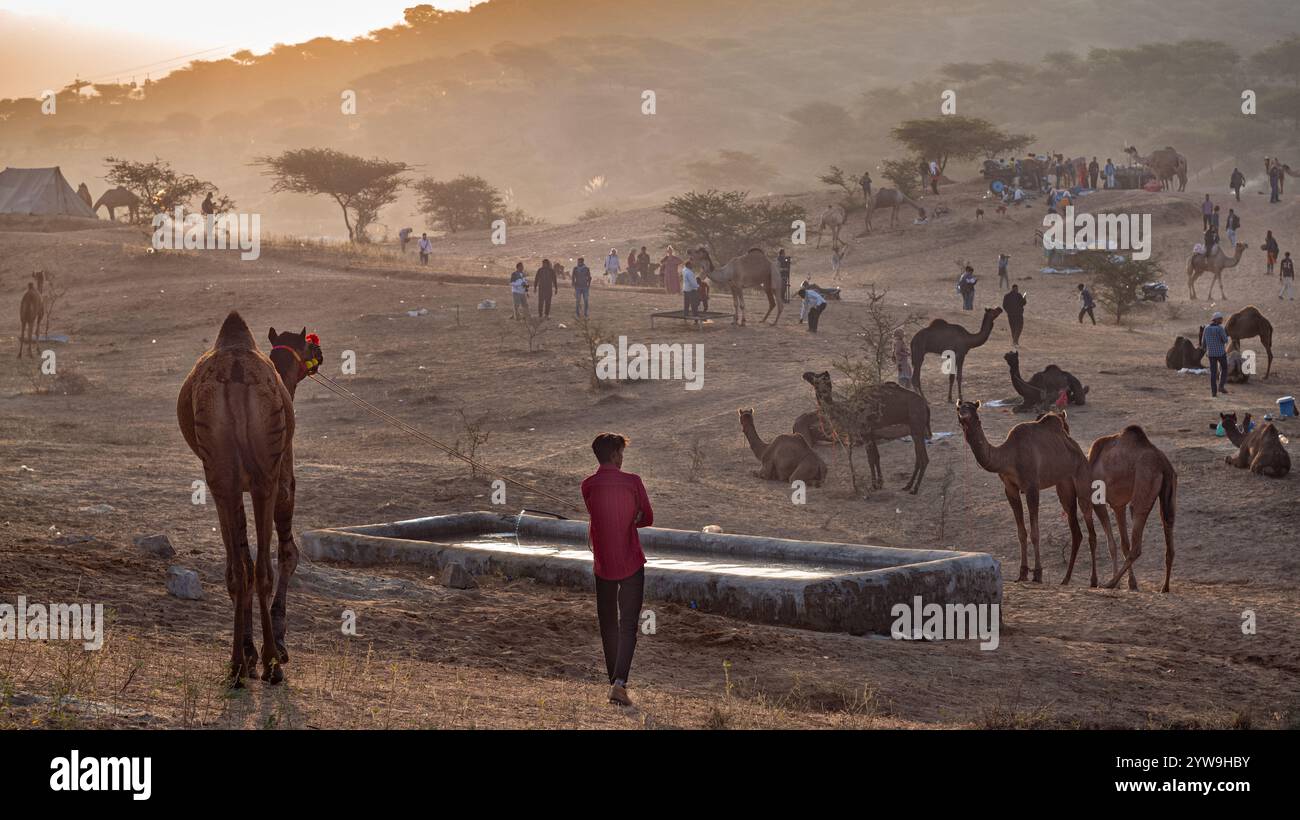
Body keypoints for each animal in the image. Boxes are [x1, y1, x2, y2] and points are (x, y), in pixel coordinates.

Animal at [177, 313, 318, 686]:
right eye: (307, 343)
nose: (320, 353)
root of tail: (237, 373)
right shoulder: (284, 474)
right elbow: (288, 553)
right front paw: (279, 646)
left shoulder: (231, 484)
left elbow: (242, 560)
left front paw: (249, 651)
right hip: (265, 474)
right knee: (265, 566)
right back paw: (271, 664)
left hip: (219, 472)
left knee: (239, 569)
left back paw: (238, 665)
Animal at [802, 370, 931, 493]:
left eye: (815, 377)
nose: (805, 374)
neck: (848, 410)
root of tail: (925, 405)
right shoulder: (871, 433)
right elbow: (876, 457)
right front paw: (880, 484)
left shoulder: (864, 433)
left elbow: (870, 459)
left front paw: (873, 485)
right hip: (914, 430)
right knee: (919, 458)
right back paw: (908, 486)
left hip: (917, 427)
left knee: (924, 459)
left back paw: (914, 489)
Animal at [956, 401, 1112, 584]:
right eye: (959, 408)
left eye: (972, 409)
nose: (963, 414)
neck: (1010, 456)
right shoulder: (1010, 489)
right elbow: (1021, 533)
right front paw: (1022, 573)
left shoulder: (1032, 486)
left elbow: (1035, 533)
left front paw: (1037, 574)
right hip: (1064, 487)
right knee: (1076, 531)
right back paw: (1065, 579)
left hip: (1082, 478)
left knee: (1090, 530)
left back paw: (1093, 581)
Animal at [1087, 426, 1177, 592]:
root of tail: (1163, 465)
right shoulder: (1118, 505)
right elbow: (1124, 544)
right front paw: (1131, 583)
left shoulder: (1098, 499)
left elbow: (1109, 543)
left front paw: (1099, 581)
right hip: (1169, 493)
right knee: (1168, 527)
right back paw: (1165, 587)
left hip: (1143, 485)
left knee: (1136, 545)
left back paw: (1110, 583)